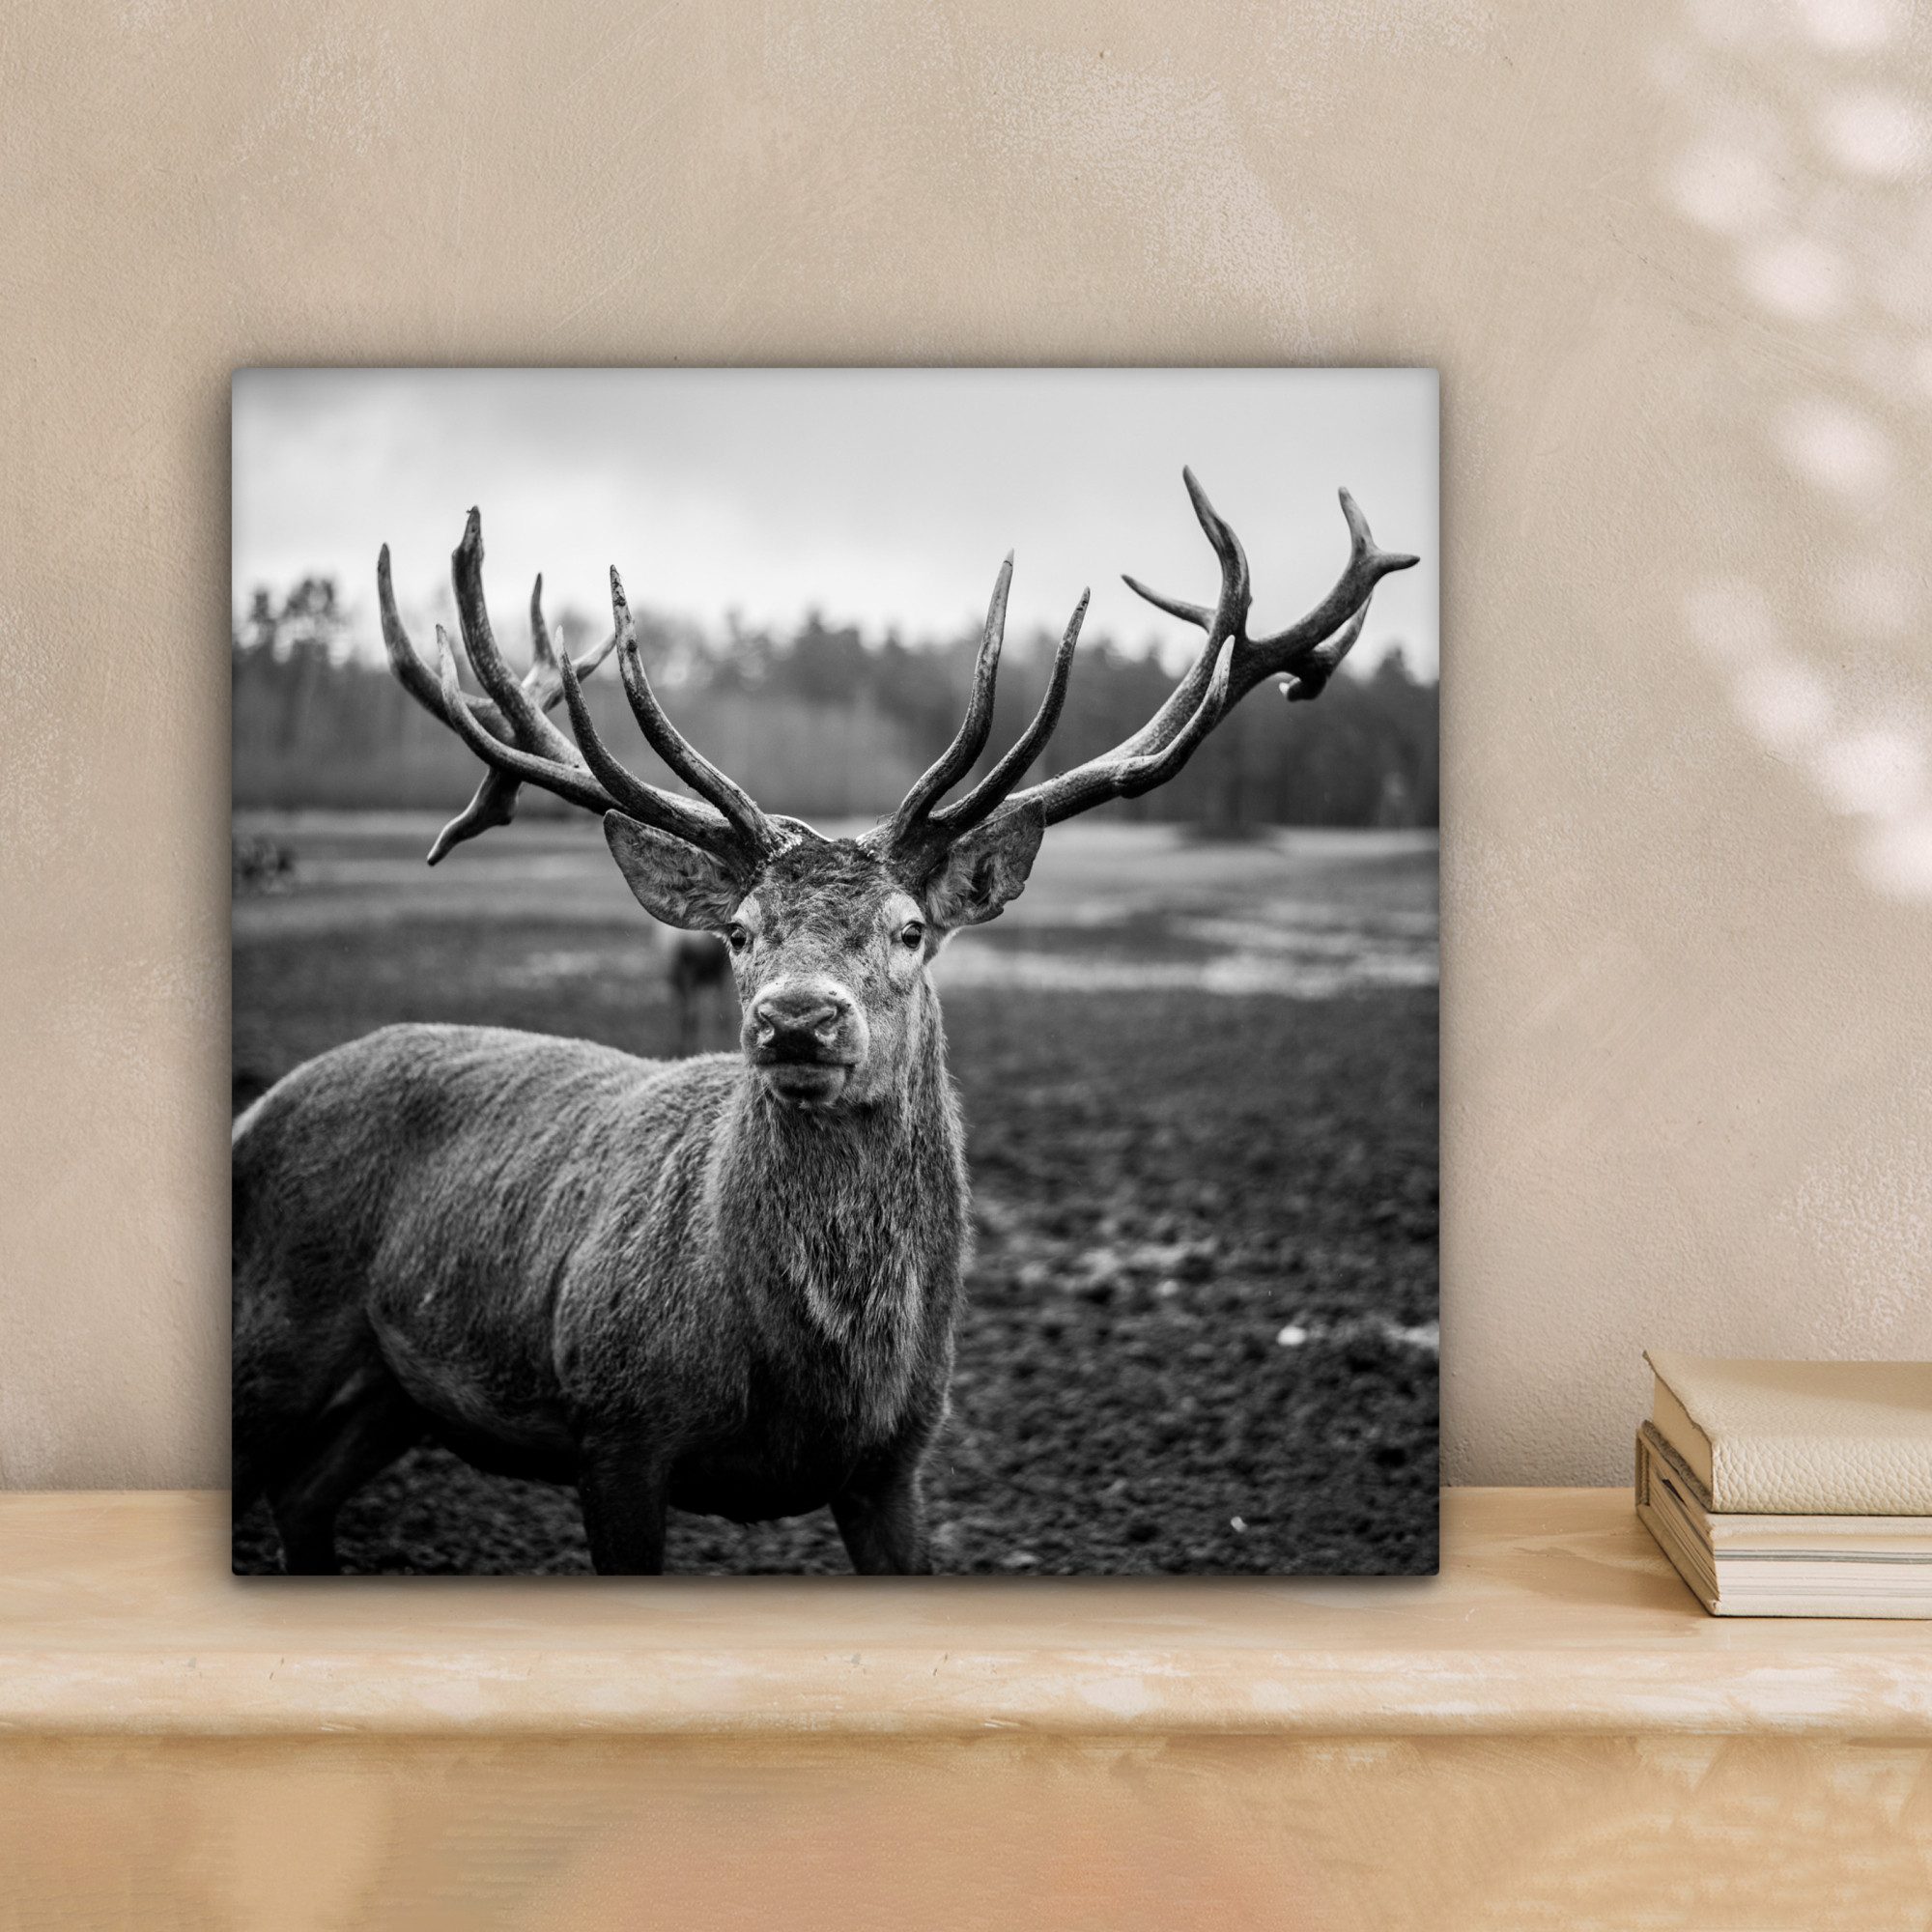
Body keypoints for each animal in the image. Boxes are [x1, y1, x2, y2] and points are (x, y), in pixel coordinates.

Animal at [231, 471, 1417, 1574]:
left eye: (909, 929)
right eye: (740, 930)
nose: (797, 1018)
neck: (819, 1378)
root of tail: (256, 1111)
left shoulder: (896, 1462)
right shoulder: (616, 1426)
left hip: (391, 1395)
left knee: (302, 1495)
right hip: (271, 1339)